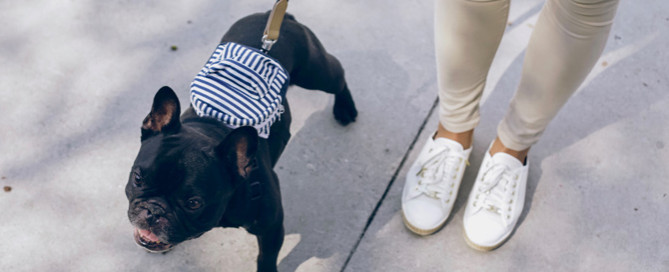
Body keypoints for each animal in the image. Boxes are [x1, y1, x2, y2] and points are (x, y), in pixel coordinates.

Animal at [124, 12, 354, 272]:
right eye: (138, 178)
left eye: (194, 203)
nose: (153, 211)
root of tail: (276, 16)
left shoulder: (272, 226)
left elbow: (266, 256)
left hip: (315, 72)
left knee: (338, 75)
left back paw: (345, 107)